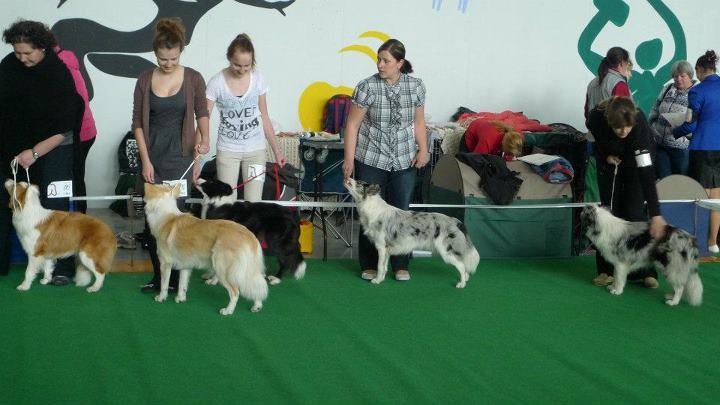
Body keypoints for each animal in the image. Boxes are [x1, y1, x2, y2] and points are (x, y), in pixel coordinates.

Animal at [143, 182, 268, 315]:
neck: (166, 216)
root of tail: (249, 235)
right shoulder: (185, 266)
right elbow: (182, 285)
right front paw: (180, 299)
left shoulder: (165, 264)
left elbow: (164, 285)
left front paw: (161, 298)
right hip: (248, 271)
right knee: (257, 286)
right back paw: (257, 306)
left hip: (224, 270)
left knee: (235, 292)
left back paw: (228, 311)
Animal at [344, 178, 480, 288]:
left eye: (359, 182)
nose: (347, 177)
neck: (372, 208)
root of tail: (454, 220)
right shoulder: (387, 250)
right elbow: (384, 267)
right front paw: (381, 279)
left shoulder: (381, 247)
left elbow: (379, 266)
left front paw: (377, 281)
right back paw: (465, 279)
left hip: (446, 251)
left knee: (461, 265)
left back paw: (461, 284)